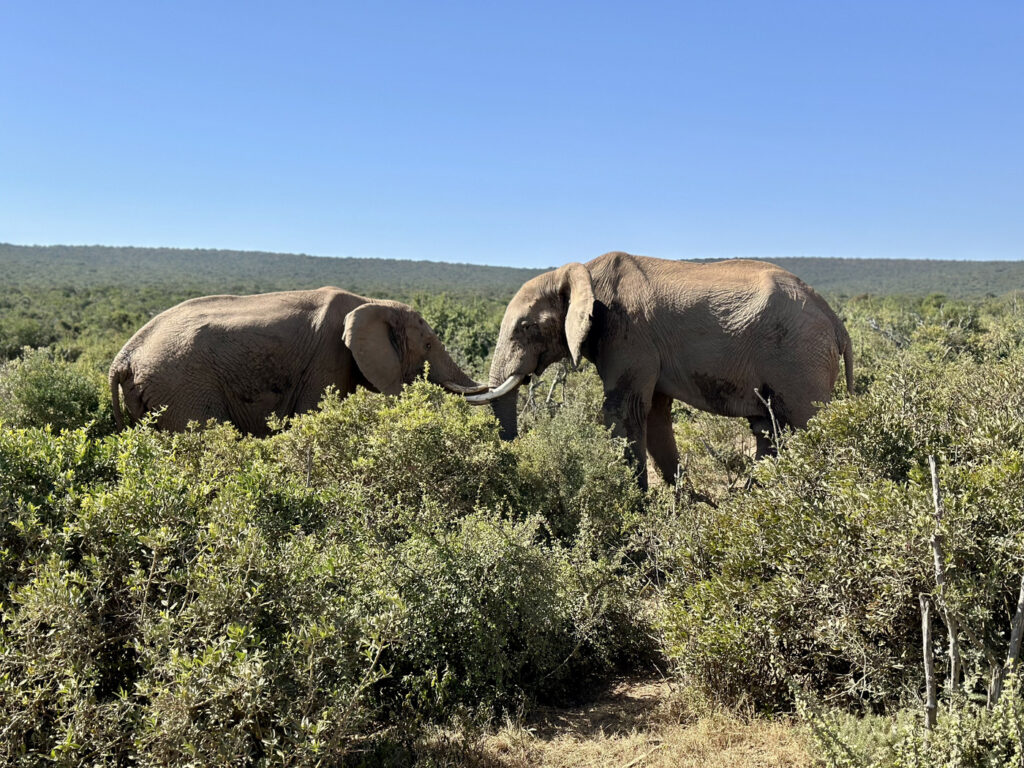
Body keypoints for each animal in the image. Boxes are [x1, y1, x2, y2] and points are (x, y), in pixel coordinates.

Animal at [468, 256, 851, 489]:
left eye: (526, 327)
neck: (580, 271)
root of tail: (835, 321)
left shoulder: (629, 335)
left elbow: (623, 414)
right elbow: (654, 416)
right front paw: (686, 502)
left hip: (800, 358)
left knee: (807, 423)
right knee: (768, 430)